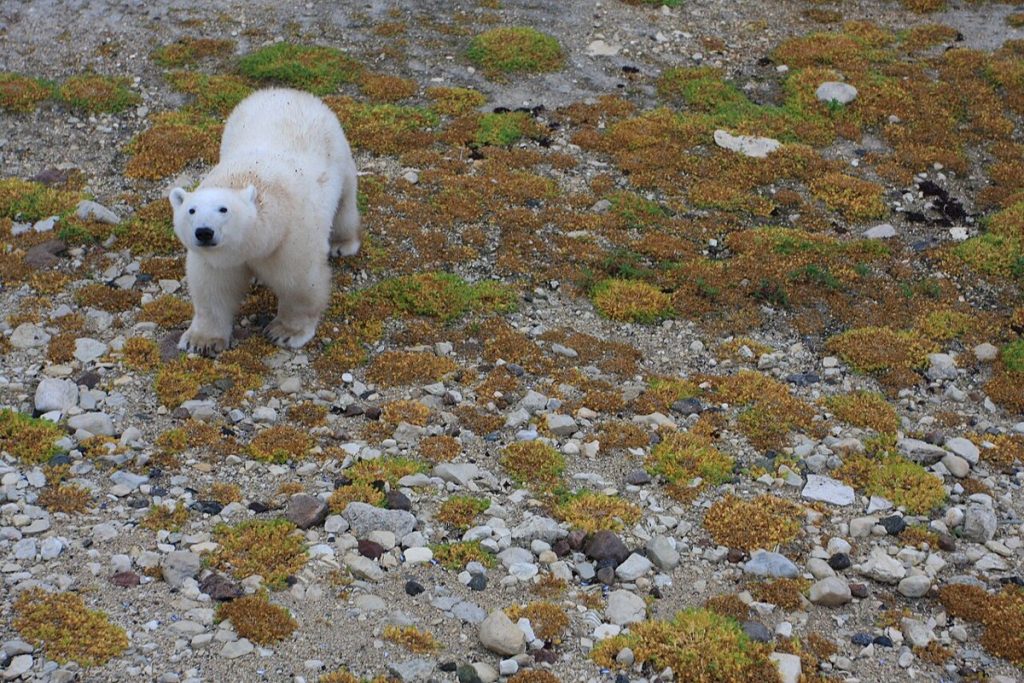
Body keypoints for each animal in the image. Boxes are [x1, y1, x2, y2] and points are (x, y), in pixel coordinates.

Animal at [169, 87, 359, 354]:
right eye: (192, 211)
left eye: (223, 209)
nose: (204, 232)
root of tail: (289, 91)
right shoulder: (215, 261)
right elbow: (213, 291)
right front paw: (202, 341)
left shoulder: (290, 240)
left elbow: (300, 285)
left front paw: (285, 332)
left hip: (339, 156)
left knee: (345, 206)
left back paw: (342, 244)